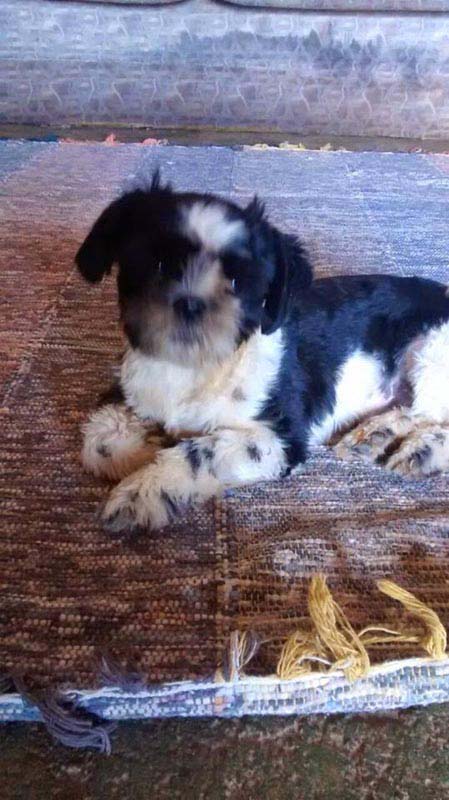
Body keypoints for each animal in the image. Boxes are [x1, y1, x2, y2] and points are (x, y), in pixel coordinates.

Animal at [76, 173, 449, 535]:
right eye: (158, 264)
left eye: (237, 282)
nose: (191, 303)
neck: (196, 368)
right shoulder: (133, 390)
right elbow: (98, 443)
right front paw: (153, 443)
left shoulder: (279, 438)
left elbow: (201, 452)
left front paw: (143, 491)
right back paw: (380, 438)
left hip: (431, 353)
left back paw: (413, 447)